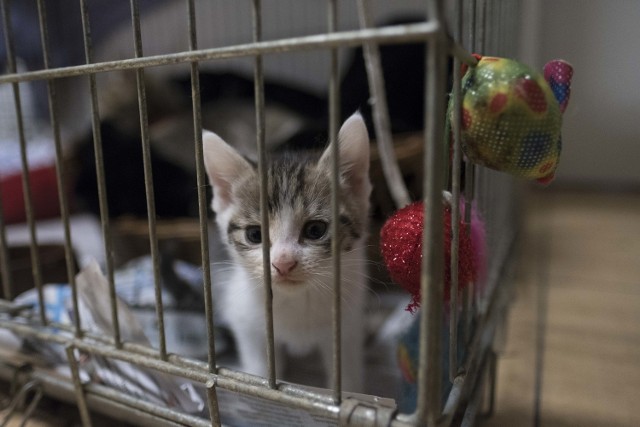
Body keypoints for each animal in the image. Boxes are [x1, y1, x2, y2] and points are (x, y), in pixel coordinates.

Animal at [200, 112, 370, 392]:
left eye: (315, 230)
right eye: (254, 235)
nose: (283, 263)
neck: (296, 301)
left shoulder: (348, 323)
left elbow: (346, 377)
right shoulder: (246, 322)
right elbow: (259, 372)